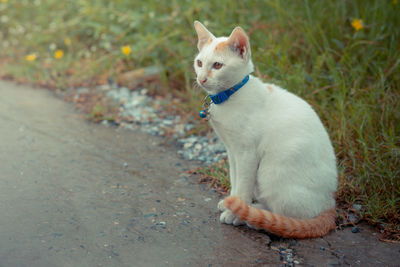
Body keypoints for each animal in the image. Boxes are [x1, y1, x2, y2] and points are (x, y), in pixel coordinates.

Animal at [194, 21, 338, 239]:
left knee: (290, 213)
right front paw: (231, 201)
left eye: (218, 65)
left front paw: (236, 211)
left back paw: (254, 214)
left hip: (271, 170)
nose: (201, 79)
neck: (230, 96)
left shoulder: (247, 153)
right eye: (199, 63)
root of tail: (329, 203)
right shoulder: (232, 151)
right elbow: (235, 179)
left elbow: (243, 186)